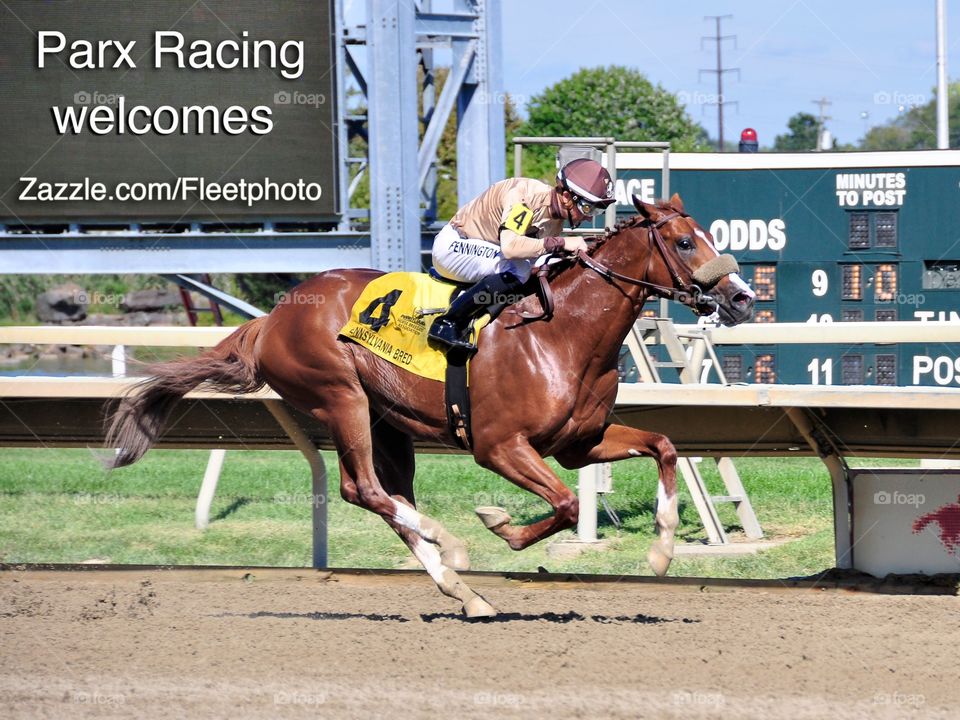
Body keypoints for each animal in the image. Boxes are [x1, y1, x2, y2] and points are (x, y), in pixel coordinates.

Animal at [105, 194, 756, 616]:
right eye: (684, 241)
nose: (742, 298)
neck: (563, 332)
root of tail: (271, 317)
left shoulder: (579, 443)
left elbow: (663, 447)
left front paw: (663, 549)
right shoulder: (498, 446)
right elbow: (569, 505)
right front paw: (500, 525)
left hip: (386, 420)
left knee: (383, 496)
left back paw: (462, 591)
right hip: (340, 396)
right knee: (366, 490)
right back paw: (455, 548)